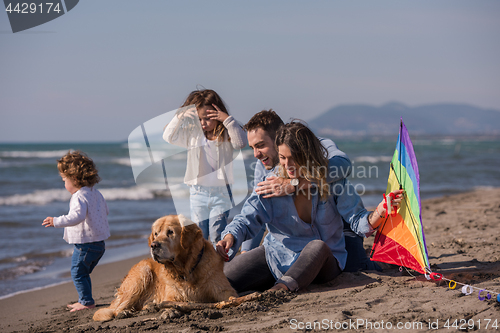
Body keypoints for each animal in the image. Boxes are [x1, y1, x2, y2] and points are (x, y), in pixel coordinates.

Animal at [94, 214, 238, 320]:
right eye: (156, 233)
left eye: (170, 232)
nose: (153, 245)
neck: (186, 269)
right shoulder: (172, 294)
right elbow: (171, 302)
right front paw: (169, 311)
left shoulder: (223, 289)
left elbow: (230, 297)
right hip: (142, 273)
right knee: (117, 308)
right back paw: (124, 312)